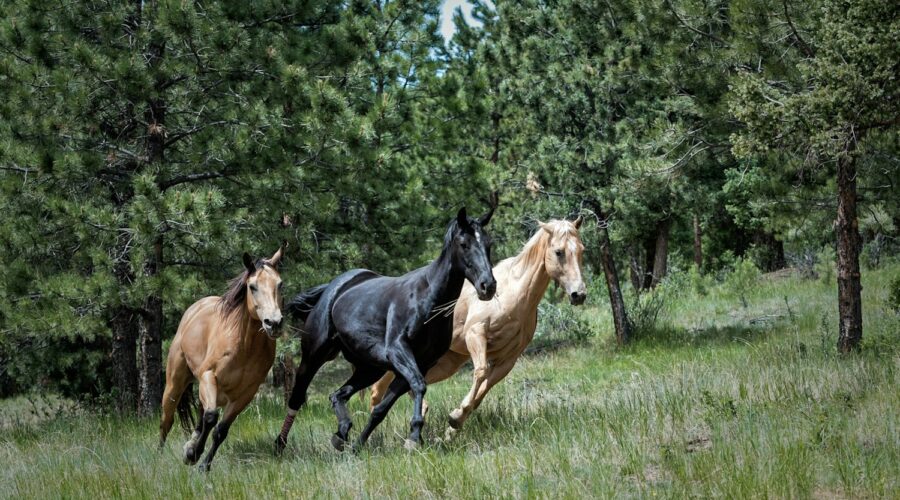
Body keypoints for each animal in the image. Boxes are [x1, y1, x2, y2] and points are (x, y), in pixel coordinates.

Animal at [159, 246, 285, 471]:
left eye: (280, 284)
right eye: (252, 287)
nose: (274, 323)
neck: (244, 346)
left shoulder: (246, 394)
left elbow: (221, 430)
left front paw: (202, 464)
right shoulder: (209, 376)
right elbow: (211, 418)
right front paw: (193, 454)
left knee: (200, 414)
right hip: (175, 384)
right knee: (167, 420)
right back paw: (159, 457)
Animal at [274, 204, 498, 454]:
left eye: (488, 244)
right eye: (464, 244)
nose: (488, 286)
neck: (428, 299)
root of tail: (333, 288)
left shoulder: (419, 363)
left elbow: (382, 409)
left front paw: (359, 445)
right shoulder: (398, 351)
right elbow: (418, 385)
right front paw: (413, 437)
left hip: (370, 368)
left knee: (337, 395)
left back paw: (342, 433)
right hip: (314, 356)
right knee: (297, 397)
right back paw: (280, 444)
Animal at [368, 218, 586, 439]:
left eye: (581, 250)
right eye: (559, 252)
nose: (579, 294)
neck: (514, 294)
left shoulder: (508, 358)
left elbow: (485, 388)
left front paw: (454, 423)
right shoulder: (476, 334)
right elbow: (480, 372)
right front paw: (456, 417)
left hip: (446, 362)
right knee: (379, 388)